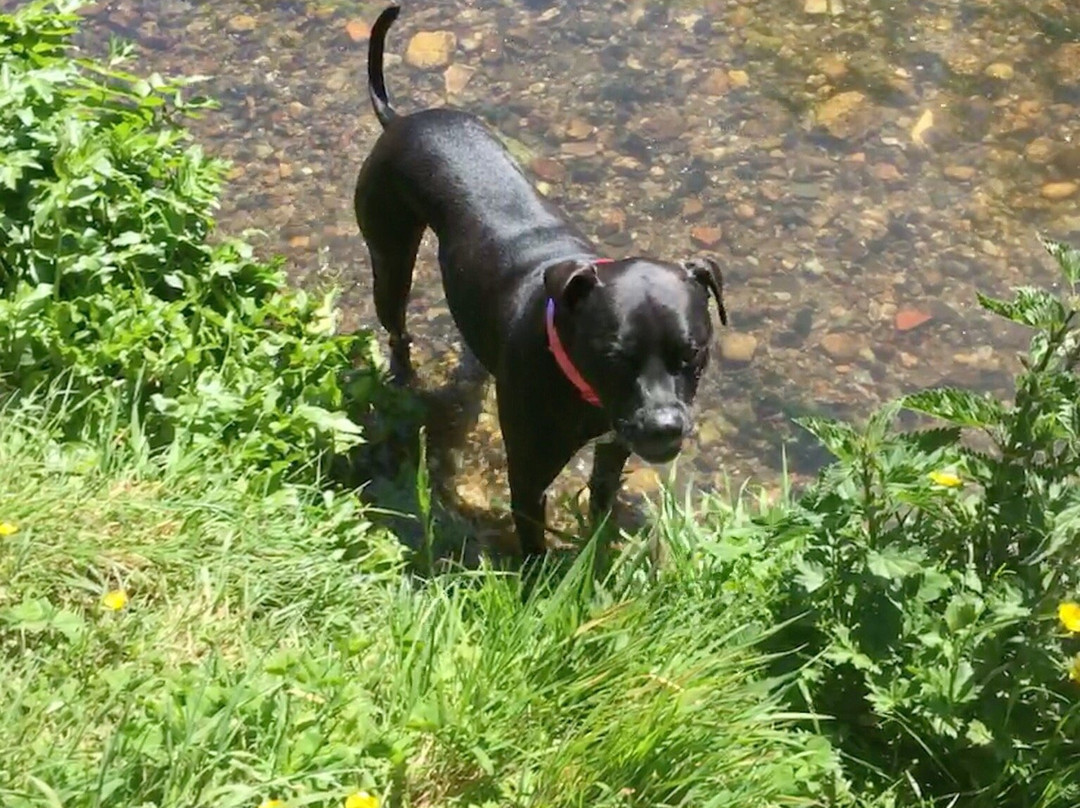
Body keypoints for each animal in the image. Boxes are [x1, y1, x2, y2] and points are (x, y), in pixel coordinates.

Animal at [352, 6, 725, 557]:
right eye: (614, 356)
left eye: (694, 354)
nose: (665, 427)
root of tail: (399, 121)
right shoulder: (528, 476)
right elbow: (531, 542)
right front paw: (536, 574)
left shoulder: (613, 448)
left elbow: (600, 504)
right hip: (390, 257)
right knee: (398, 327)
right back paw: (402, 374)